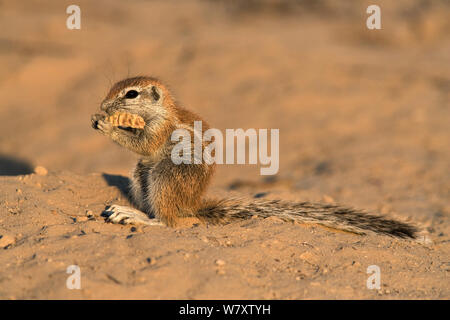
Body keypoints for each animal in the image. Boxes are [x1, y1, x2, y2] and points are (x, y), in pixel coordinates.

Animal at [91, 76, 422, 239]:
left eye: (131, 94)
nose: (104, 106)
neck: (159, 111)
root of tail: (191, 205)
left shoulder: (161, 130)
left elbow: (145, 144)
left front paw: (107, 124)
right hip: (141, 174)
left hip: (165, 176)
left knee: (170, 222)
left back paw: (139, 218)